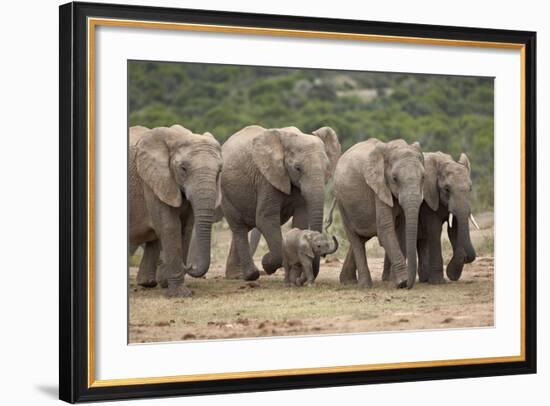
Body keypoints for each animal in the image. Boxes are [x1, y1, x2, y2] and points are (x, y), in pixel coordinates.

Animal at [129, 125, 222, 296]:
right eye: (183, 168)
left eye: (220, 170)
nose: (190, 265)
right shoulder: (153, 181)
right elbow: (170, 227)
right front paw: (180, 294)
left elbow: (186, 228)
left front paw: (168, 284)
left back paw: (147, 283)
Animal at [220, 125, 340, 280]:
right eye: (297, 168)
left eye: (327, 168)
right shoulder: (267, 178)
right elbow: (266, 219)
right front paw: (266, 263)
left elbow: (301, 218)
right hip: (226, 193)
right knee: (239, 227)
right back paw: (251, 275)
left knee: (244, 227)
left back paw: (236, 275)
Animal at [332, 140, 426, 288]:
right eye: (394, 178)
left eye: (423, 177)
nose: (408, 284)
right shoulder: (379, 186)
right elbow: (385, 229)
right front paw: (402, 282)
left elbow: (402, 230)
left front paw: (395, 282)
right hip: (341, 202)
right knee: (355, 238)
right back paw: (364, 286)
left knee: (362, 237)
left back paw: (348, 281)